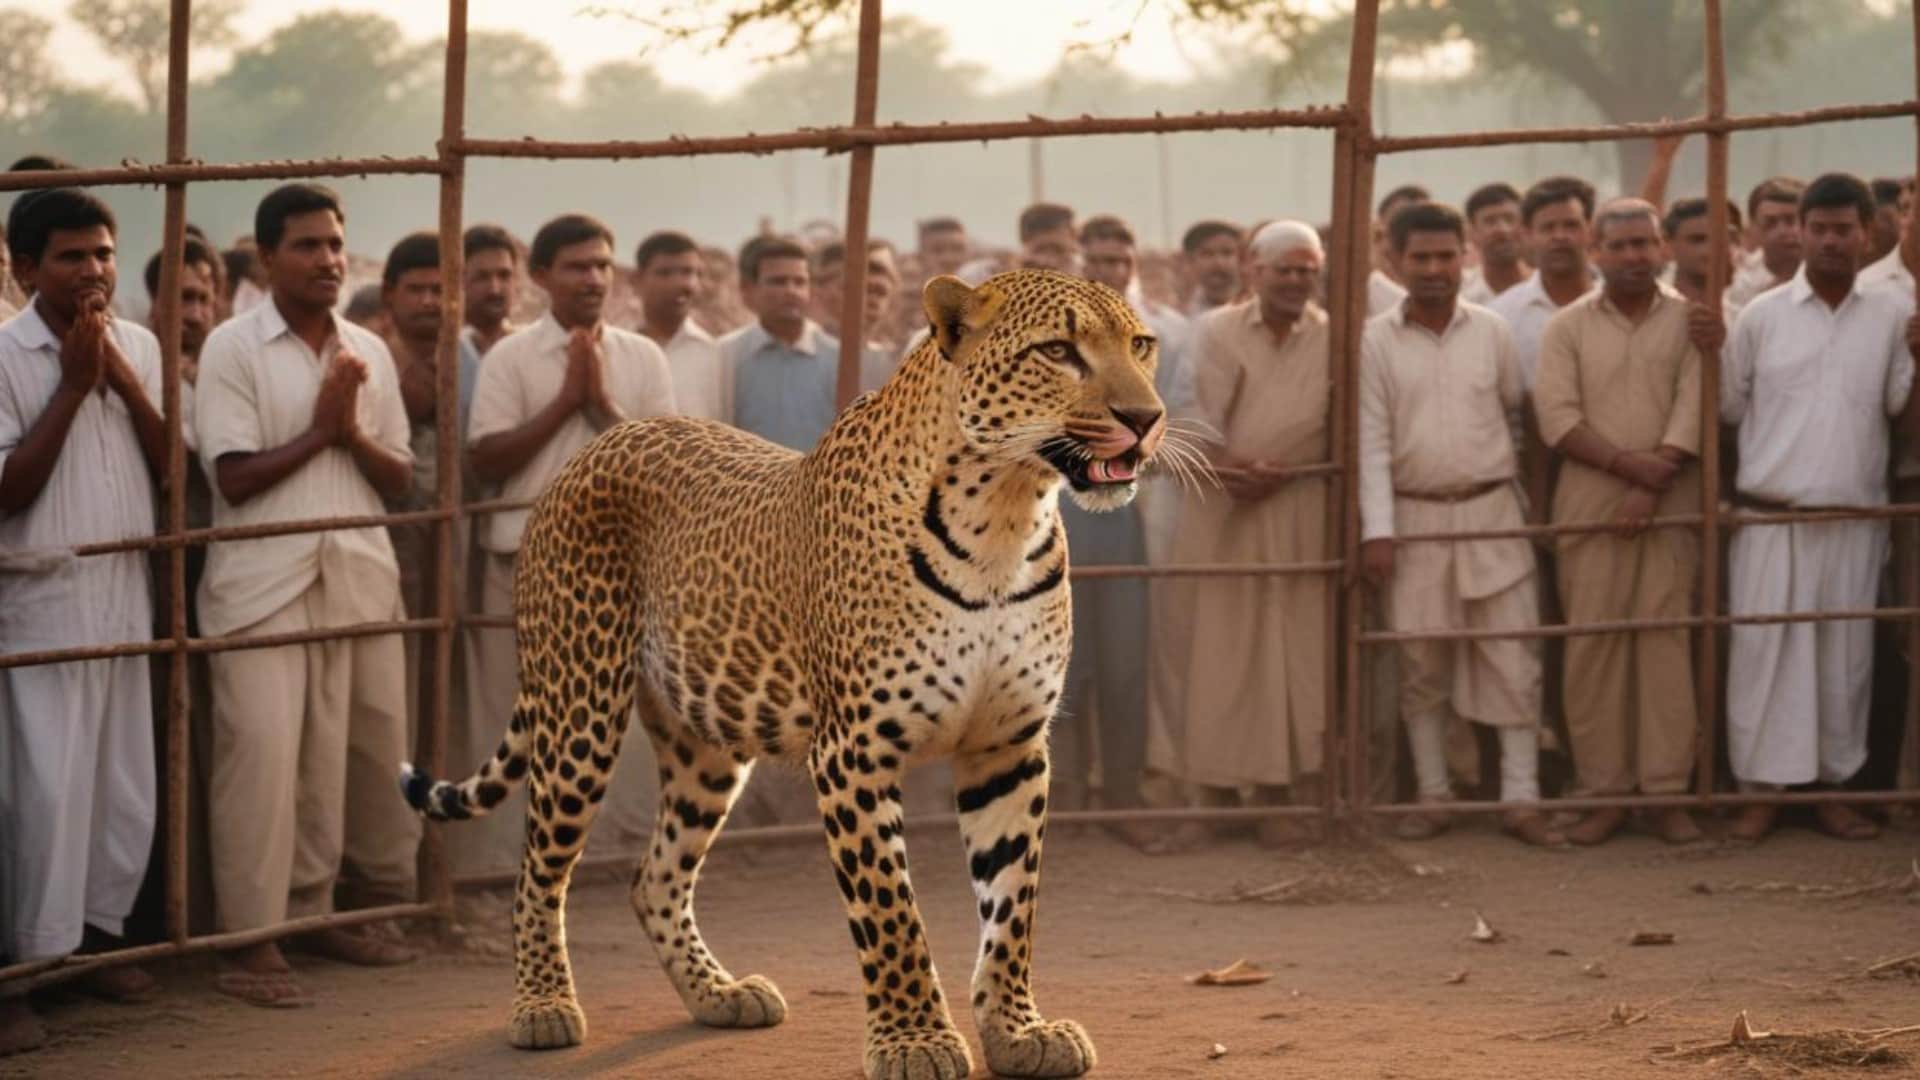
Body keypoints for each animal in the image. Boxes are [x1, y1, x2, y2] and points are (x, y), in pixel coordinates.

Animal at [400, 269, 1180, 1080]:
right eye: (1058, 351)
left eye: (1140, 345)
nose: (1145, 418)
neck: (1005, 515)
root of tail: (600, 443)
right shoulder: (854, 753)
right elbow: (891, 912)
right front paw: (915, 1042)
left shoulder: (1008, 749)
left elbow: (1012, 907)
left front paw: (1018, 1031)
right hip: (577, 712)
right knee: (538, 872)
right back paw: (542, 1007)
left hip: (703, 743)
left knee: (655, 877)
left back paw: (719, 994)